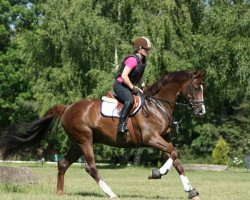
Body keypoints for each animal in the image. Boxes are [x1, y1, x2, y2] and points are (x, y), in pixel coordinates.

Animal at [0, 69, 205, 199]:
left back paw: (60, 192)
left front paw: (190, 191)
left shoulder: (164, 138)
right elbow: (174, 153)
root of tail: (67, 108)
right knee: (91, 167)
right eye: (196, 88)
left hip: (77, 143)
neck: (157, 106)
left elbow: (175, 158)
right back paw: (111, 193)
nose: (201, 111)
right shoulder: (151, 138)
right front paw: (159, 173)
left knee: (63, 164)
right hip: (85, 140)